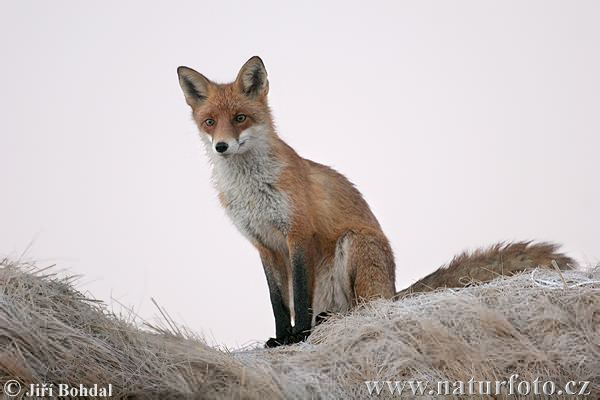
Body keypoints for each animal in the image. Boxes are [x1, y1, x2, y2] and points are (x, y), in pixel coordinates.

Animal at [176, 56, 576, 346]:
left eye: (240, 118)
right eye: (210, 122)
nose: (221, 146)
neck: (252, 188)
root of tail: (395, 291)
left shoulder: (298, 235)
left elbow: (299, 300)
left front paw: (299, 337)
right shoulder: (264, 246)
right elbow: (278, 304)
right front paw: (281, 337)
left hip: (355, 244)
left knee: (367, 309)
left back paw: (333, 321)